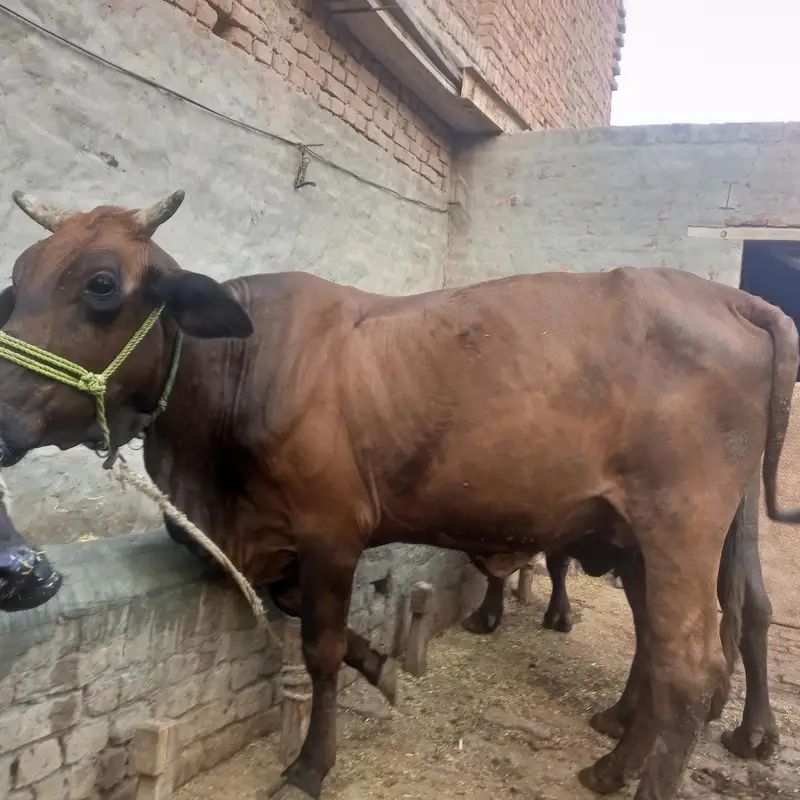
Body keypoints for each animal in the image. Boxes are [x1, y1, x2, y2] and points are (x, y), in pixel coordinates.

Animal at [463, 476, 778, 761]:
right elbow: (555, 560)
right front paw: (559, 614)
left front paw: (485, 616)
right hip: (732, 545)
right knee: (755, 610)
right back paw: (754, 735)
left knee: (654, 634)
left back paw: (619, 718)